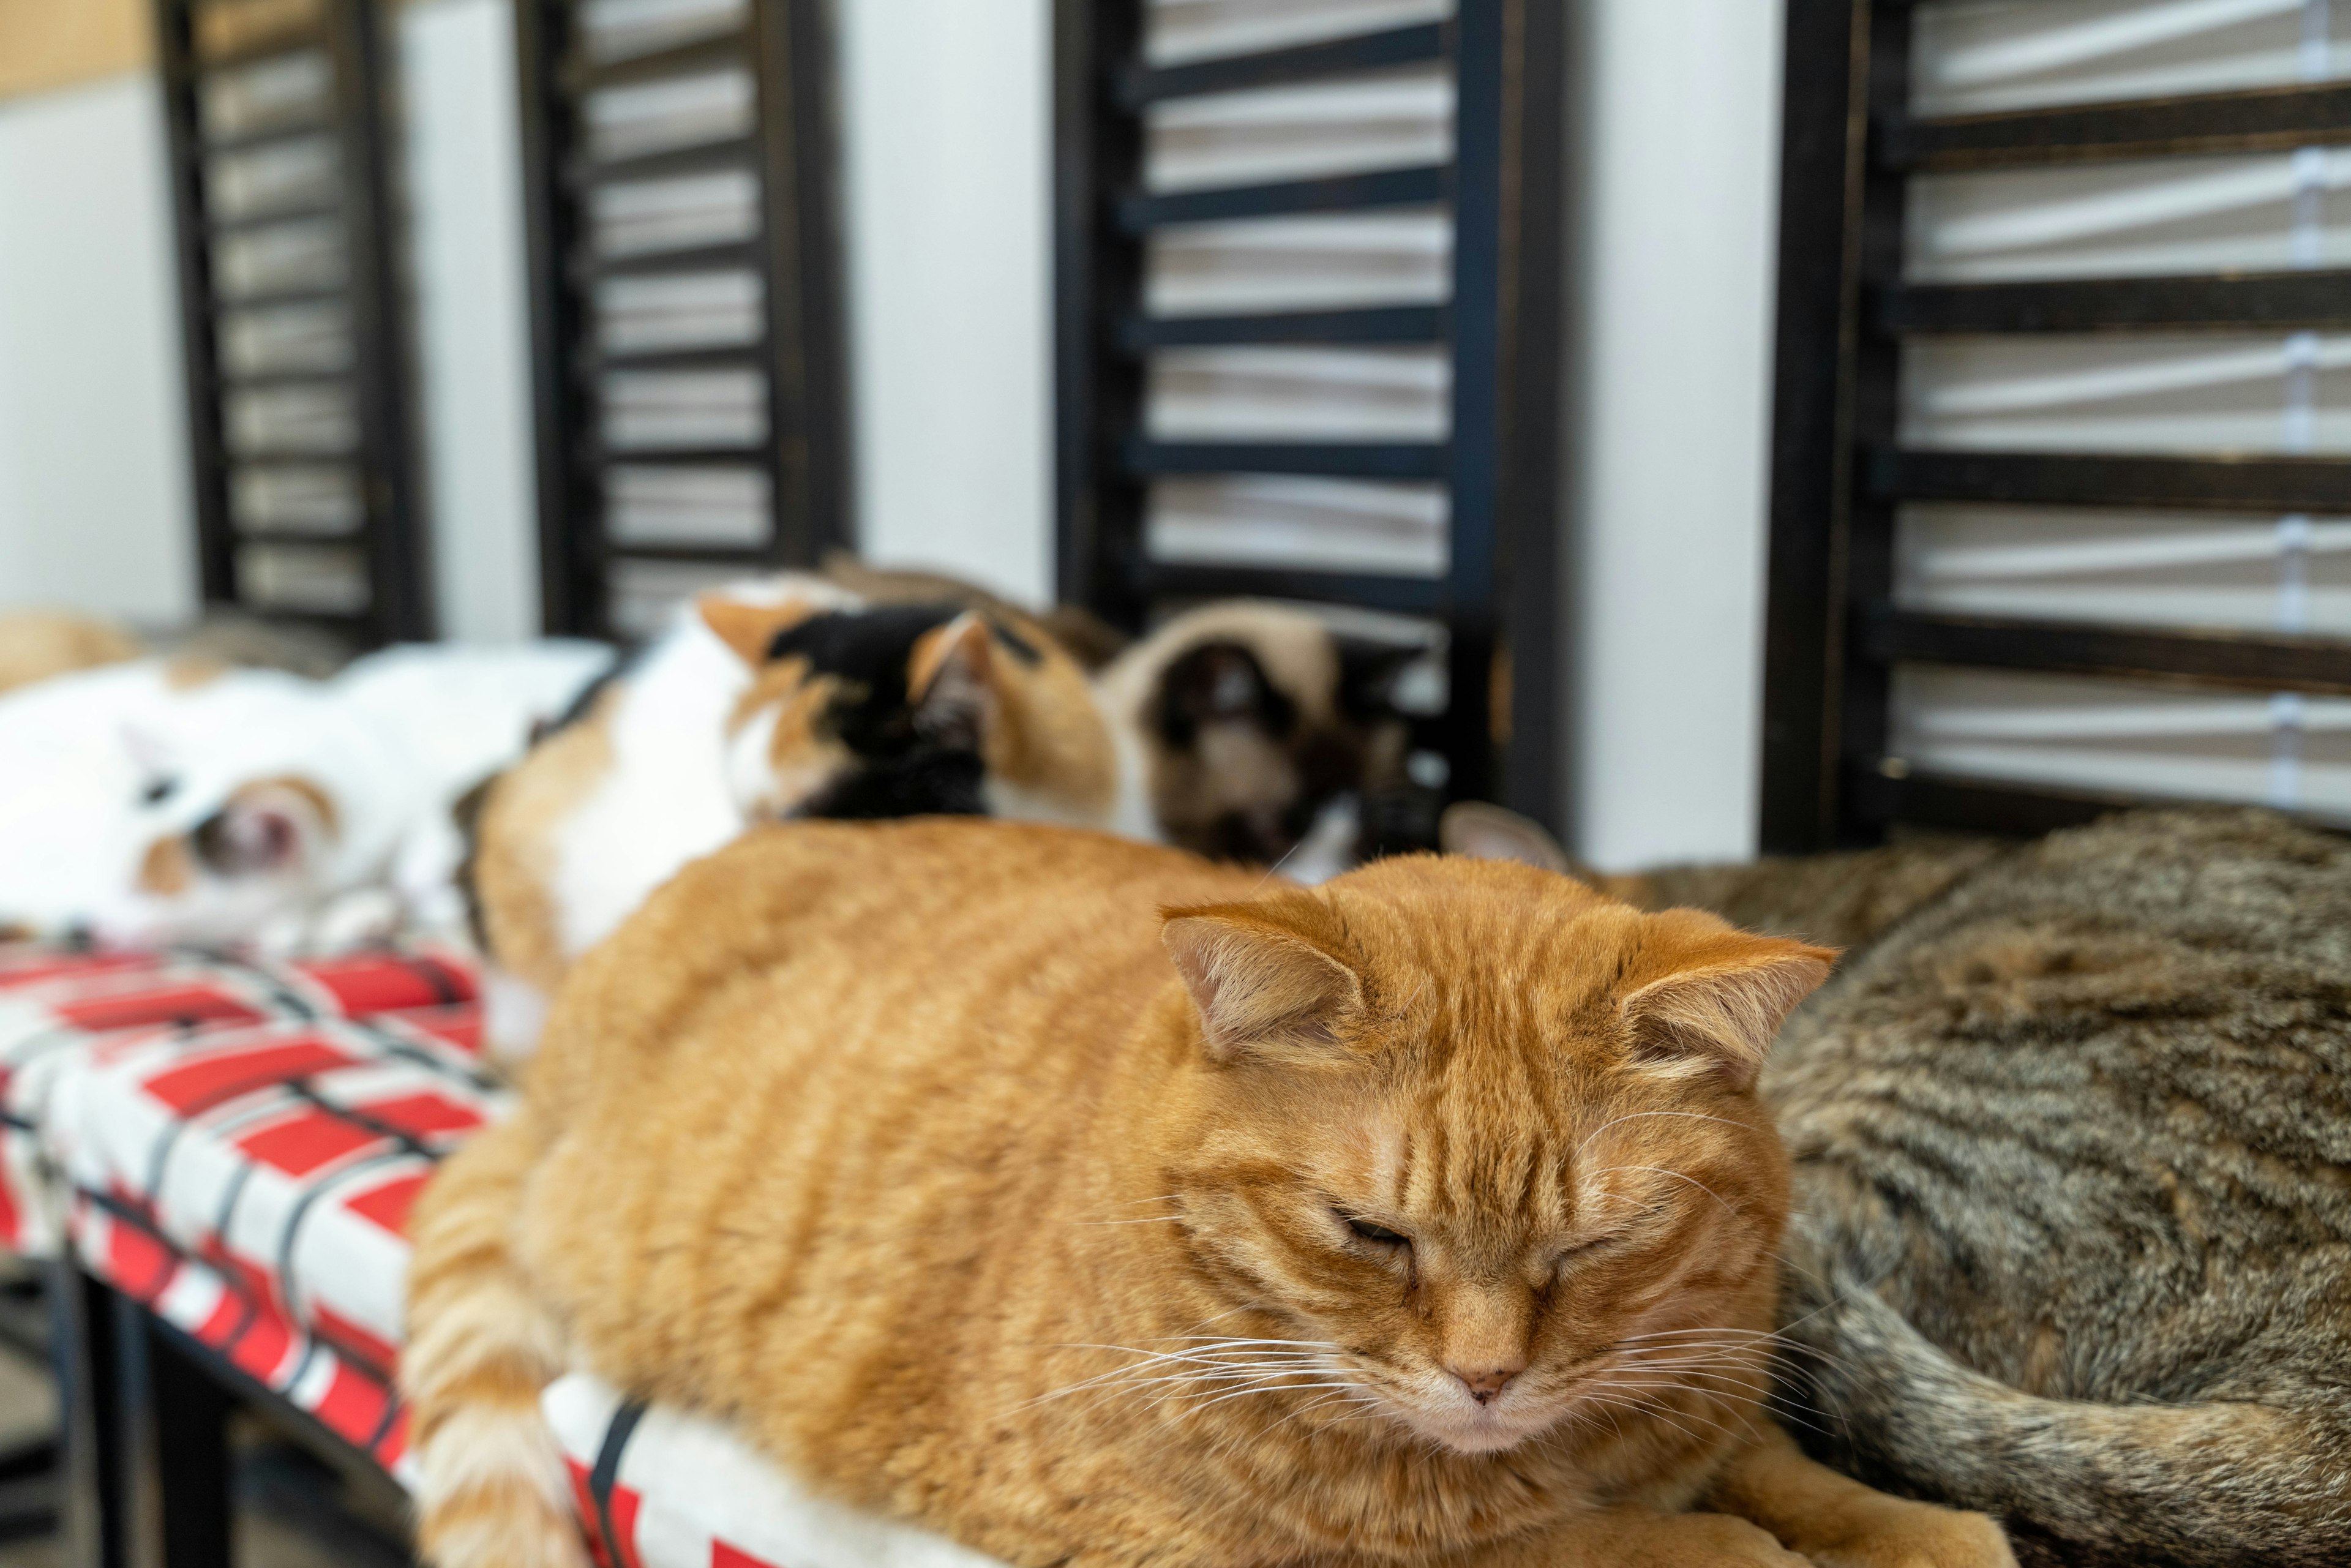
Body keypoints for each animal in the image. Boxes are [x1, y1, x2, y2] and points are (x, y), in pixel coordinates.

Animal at [399, 822, 2003, 1568]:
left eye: (1597, 1242)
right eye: (1371, 1234)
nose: (1488, 1379)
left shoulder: (1701, 1407)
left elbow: (1790, 1475)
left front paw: (1917, 1525)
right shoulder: (1218, 1545)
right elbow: (1609, 1545)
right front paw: (1735, 1548)